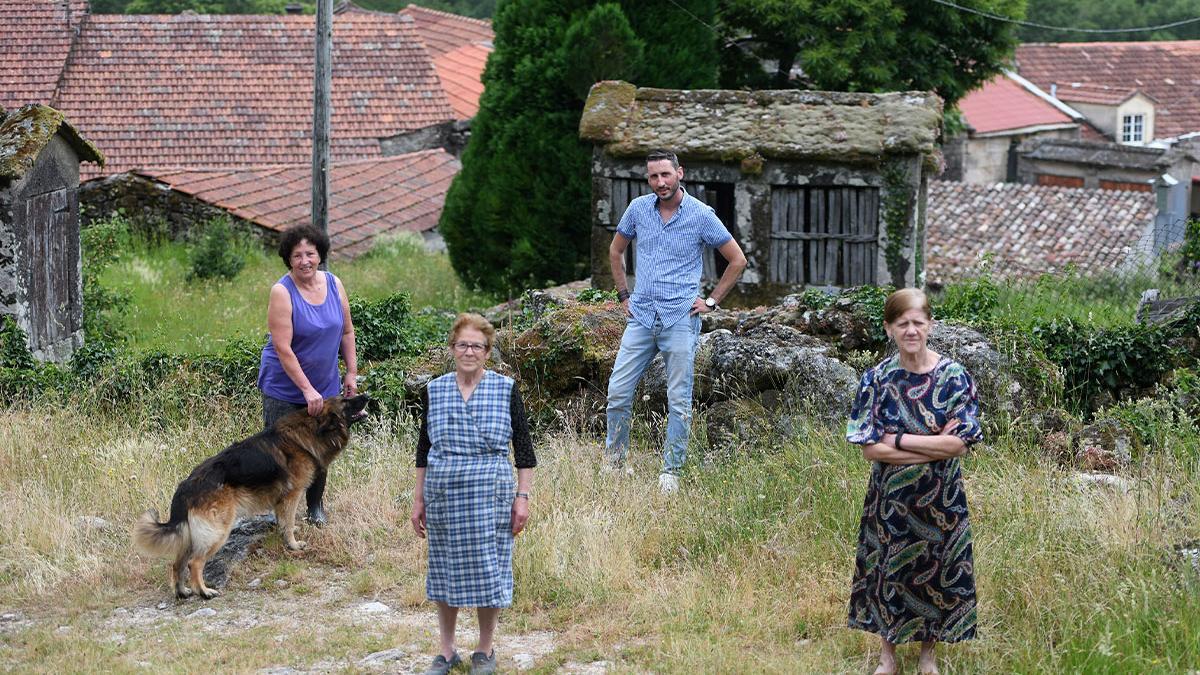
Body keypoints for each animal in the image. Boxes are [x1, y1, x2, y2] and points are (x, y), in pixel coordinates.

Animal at [131, 391, 364, 595]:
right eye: (345, 401)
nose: (367, 396)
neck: (310, 430)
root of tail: (186, 486)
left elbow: (283, 521)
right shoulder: (292, 495)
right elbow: (288, 523)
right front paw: (293, 545)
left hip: (193, 534)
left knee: (177, 563)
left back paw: (182, 591)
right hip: (218, 530)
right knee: (194, 562)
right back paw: (204, 592)